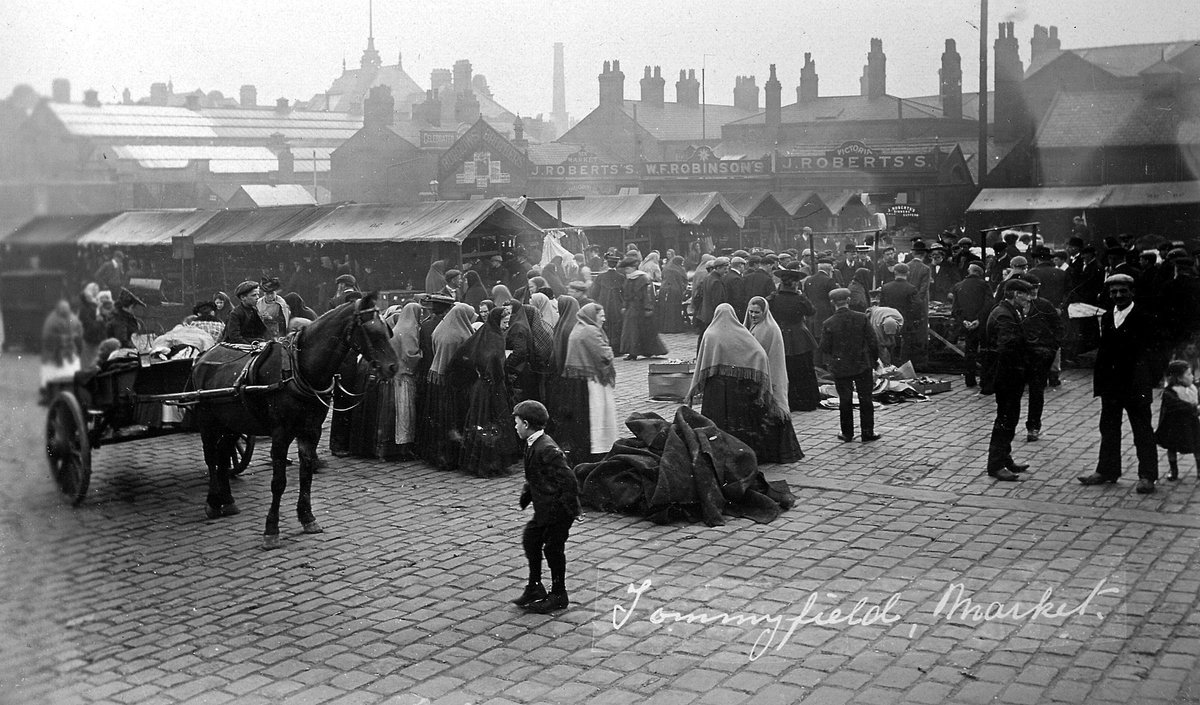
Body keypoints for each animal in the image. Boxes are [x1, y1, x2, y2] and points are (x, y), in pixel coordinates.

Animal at [189, 294, 400, 549]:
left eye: (387, 329)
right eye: (371, 330)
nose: (392, 367)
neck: (299, 369)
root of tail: (204, 356)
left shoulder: (311, 431)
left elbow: (306, 474)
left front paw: (307, 517)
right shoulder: (281, 434)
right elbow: (278, 482)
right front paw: (271, 530)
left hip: (233, 422)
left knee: (223, 454)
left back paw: (228, 500)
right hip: (207, 420)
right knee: (211, 457)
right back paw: (212, 502)